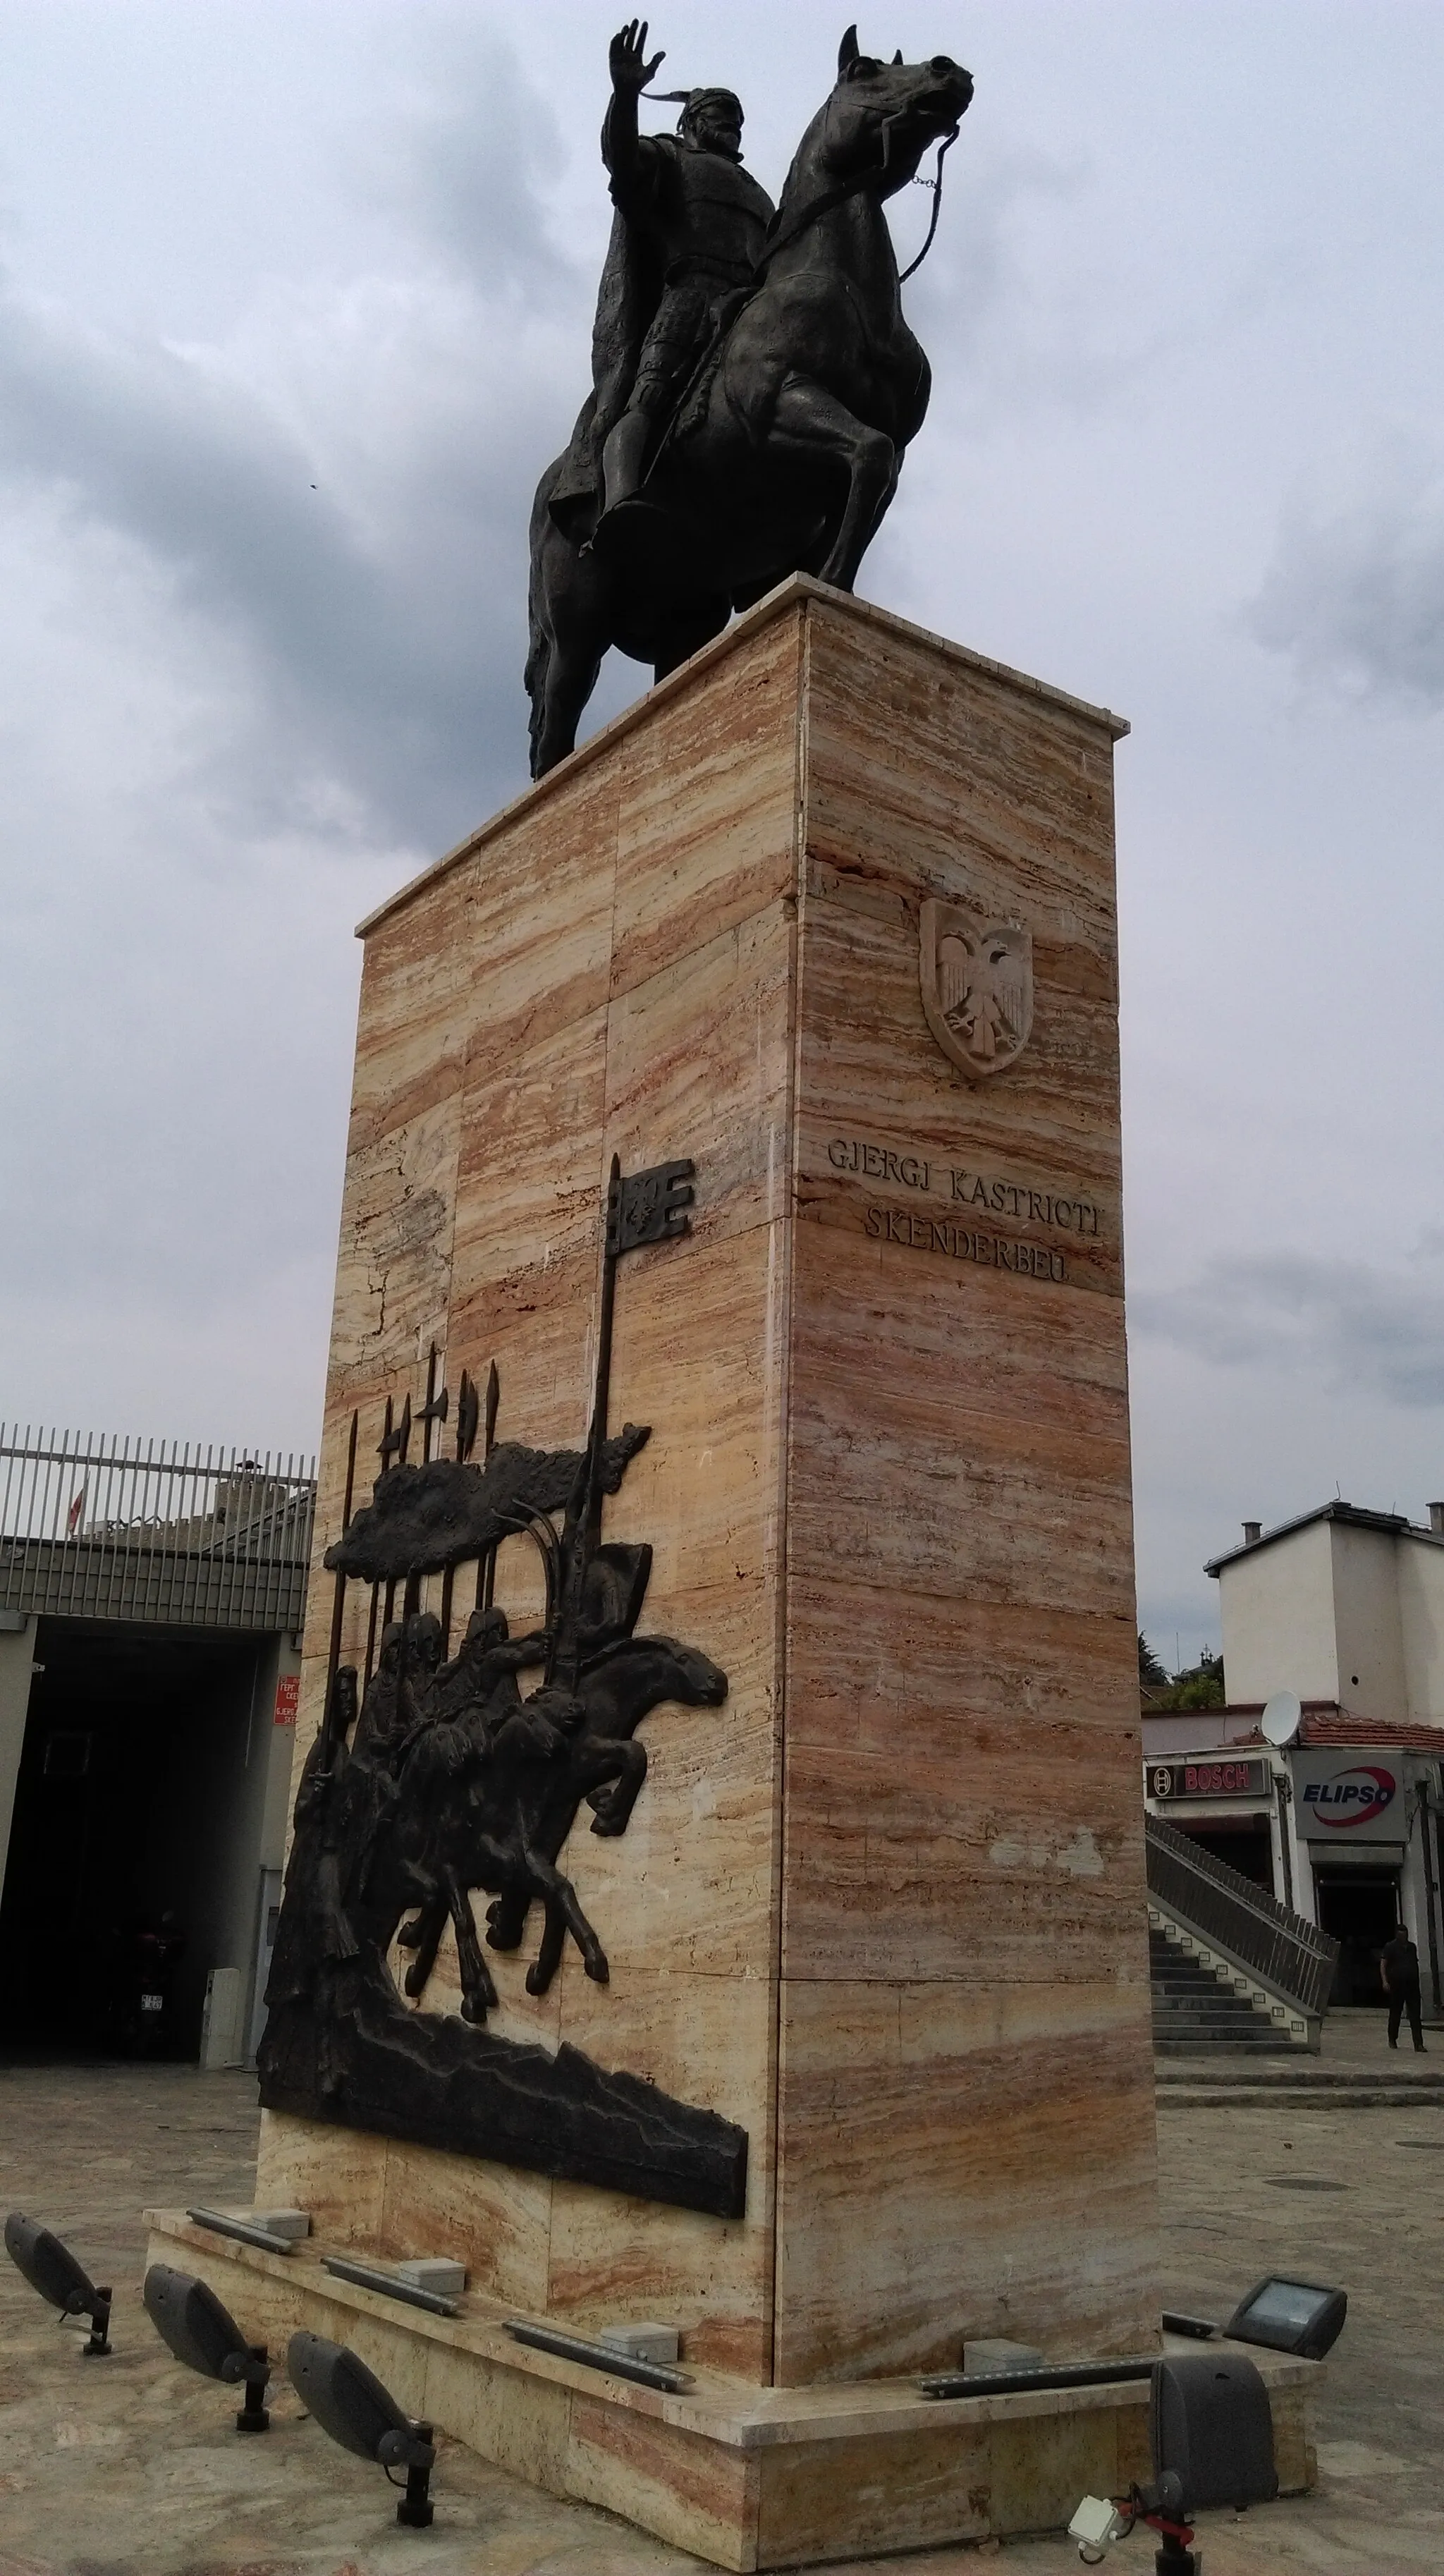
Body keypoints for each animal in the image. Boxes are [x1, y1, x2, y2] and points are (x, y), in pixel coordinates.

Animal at [522, 30, 972, 772]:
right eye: (864, 70)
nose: (950, 72)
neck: (848, 291)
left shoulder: (873, 452)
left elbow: (873, 481)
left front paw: (832, 583)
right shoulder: (780, 409)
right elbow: (871, 456)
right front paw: (627, 71)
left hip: (685, 617)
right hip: (576, 629)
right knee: (553, 732)